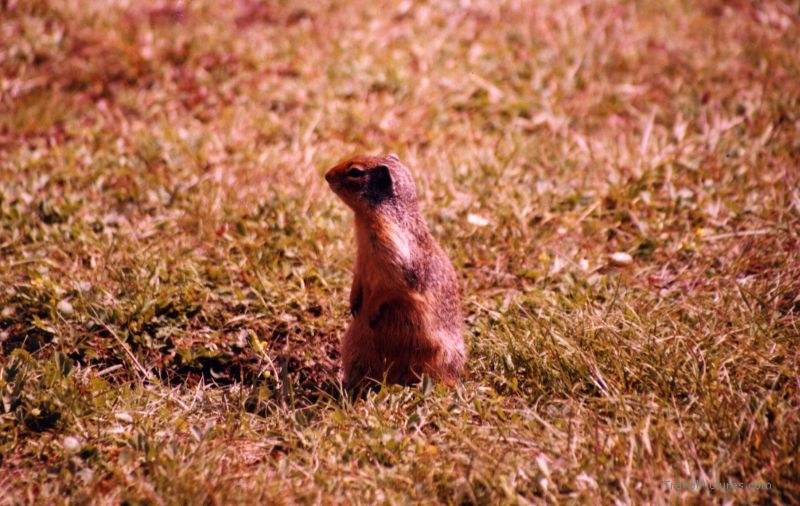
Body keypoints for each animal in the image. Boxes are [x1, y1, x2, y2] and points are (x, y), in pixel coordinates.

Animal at [324, 154, 466, 388]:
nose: (326, 175)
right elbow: (358, 277)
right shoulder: (361, 259)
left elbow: (392, 286)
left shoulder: (394, 253)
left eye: (355, 172)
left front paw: (370, 312)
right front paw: (353, 304)